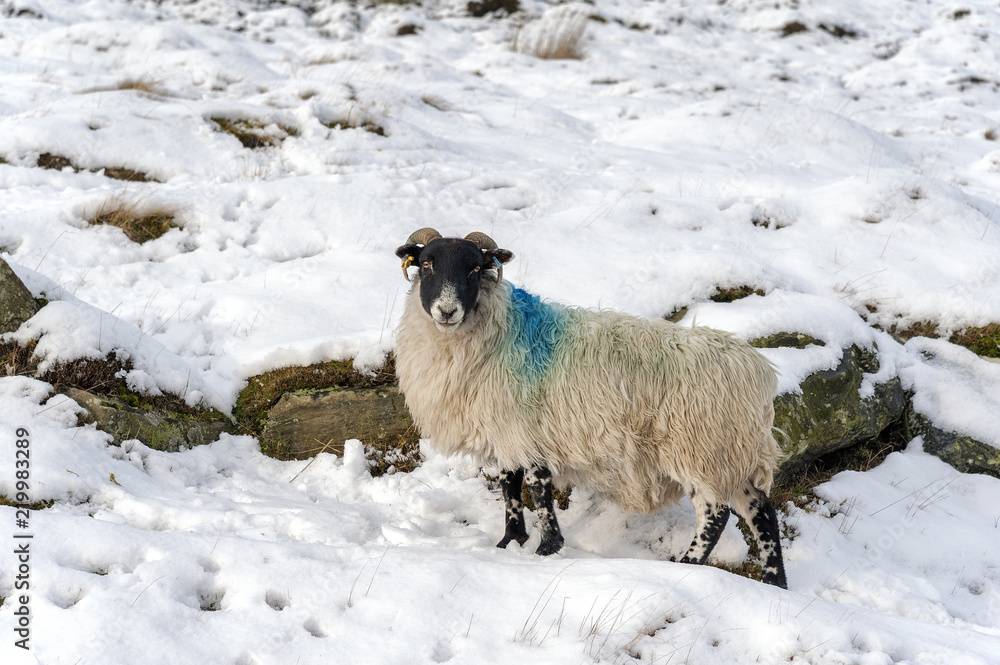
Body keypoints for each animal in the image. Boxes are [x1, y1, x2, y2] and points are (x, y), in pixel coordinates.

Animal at [393, 228, 787, 588]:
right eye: (426, 264)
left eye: (475, 268)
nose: (447, 311)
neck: (505, 333)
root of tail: (758, 370)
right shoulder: (506, 432)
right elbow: (510, 486)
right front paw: (510, 542)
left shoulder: (528, 431)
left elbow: (536, 488)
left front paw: (546, 549)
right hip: (731, 452)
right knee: (761, 509)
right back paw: (775, 582)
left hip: (701, 448)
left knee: (715, 514)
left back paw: (687, 565)